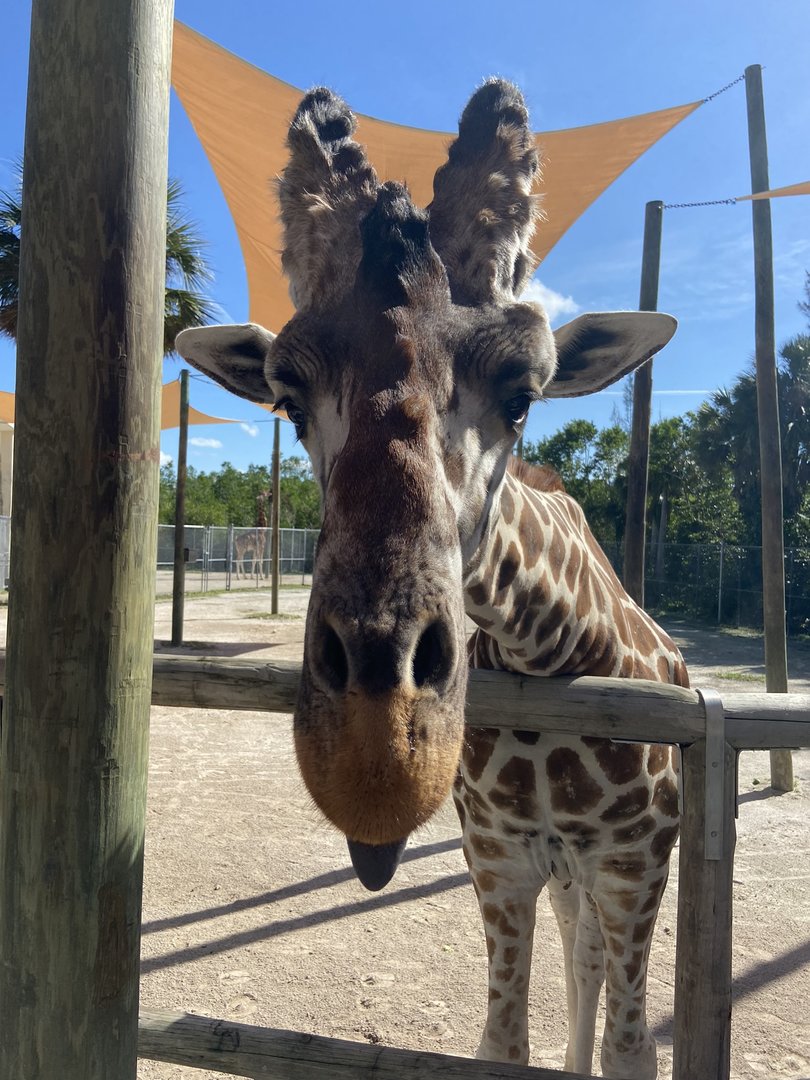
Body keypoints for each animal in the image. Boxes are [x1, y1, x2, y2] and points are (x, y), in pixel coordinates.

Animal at [176, 80, 685, 1078]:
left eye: (525, 394)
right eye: (286, 399)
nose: (378, 752)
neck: (549, 651)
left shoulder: (635, 865)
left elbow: (631, 1049)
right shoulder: (499, 861)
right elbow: (501, 1043)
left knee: (593, 968)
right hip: (560, 880)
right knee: (579, 959)